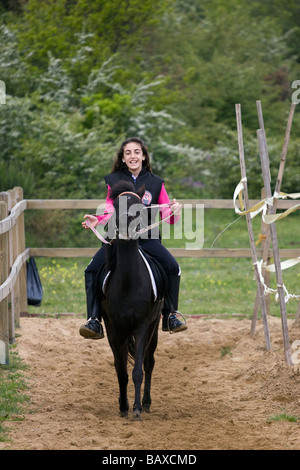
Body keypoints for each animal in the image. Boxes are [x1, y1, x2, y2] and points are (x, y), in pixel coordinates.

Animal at [99, 180, 164, 418]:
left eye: (140, 207)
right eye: (115, 206)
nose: (127, 226)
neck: (128, 283)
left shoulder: (142, 325)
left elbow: (137, 370)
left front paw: (136, 408)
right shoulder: (114, 327)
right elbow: (121, 370)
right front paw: (123, 406)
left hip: (154, 326)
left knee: (149, 362)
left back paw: (145, 402)